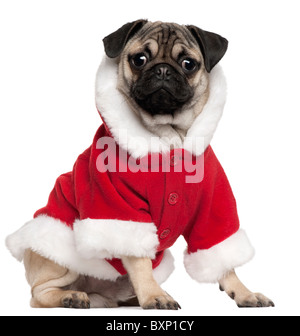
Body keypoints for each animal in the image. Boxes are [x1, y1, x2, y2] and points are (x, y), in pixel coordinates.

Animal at [7, 19, 274, 310]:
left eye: (188, 64)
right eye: (139, 60)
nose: (163, 70)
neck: (168, 139)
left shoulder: (213, 208)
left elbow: (222, 259)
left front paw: (244, 292)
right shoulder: (122, 209)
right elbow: (139, 261)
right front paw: (155, 296)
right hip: (60, 261)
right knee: (39, 294)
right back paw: (73, 296)